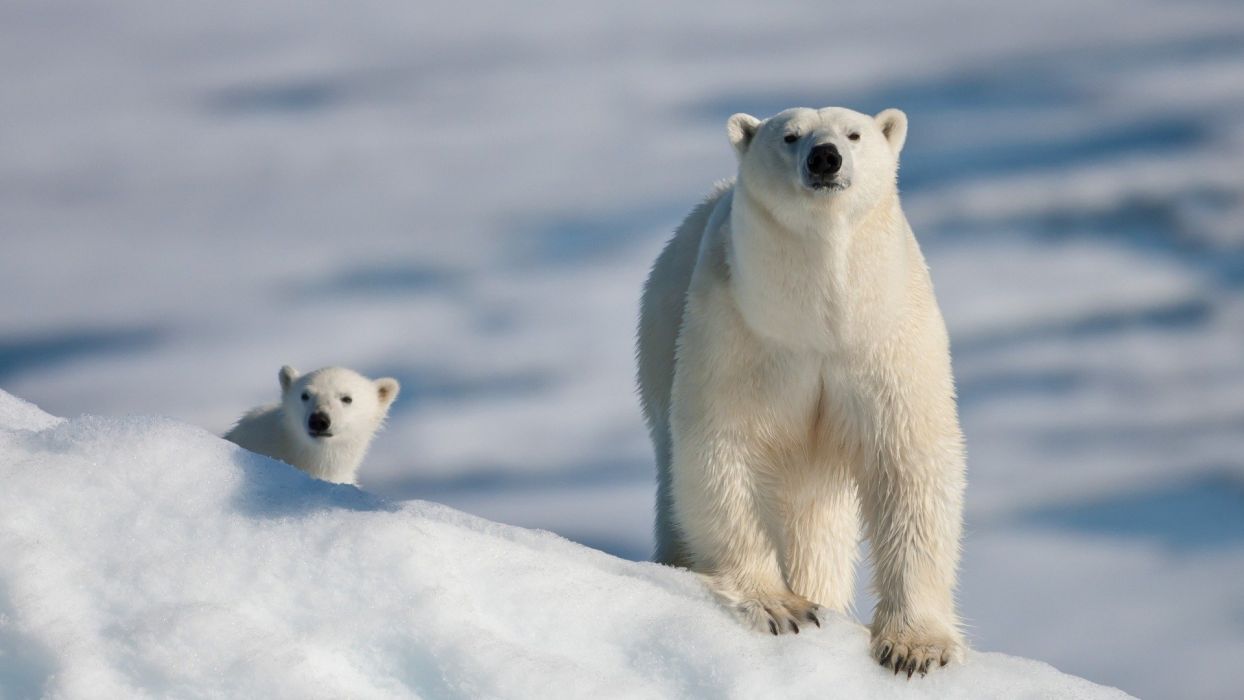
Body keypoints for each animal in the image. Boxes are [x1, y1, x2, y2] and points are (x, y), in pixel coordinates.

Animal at [637, 106, 966, 676]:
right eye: (789, 137)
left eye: (854, 134)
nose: (825, 158)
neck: (821, 318)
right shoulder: (741, 331)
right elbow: (724, 450)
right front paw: (781, 606)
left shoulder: (886, 336)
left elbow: (910, 462)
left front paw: (914, 647)